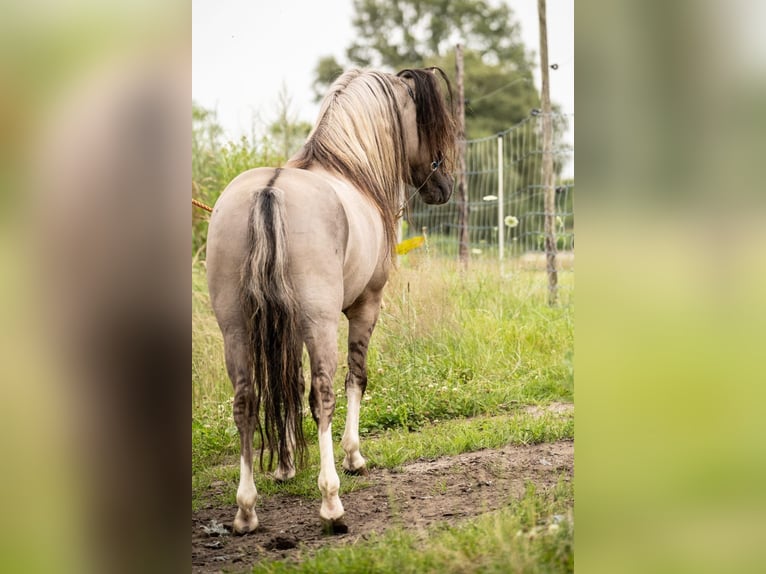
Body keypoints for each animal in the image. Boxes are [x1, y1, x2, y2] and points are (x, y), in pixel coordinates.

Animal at [205, 67, 457, 534]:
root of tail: (269, 193)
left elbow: (287, 384)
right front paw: (354, 455)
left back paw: (246, 510)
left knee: (247, 400)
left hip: (236, 328)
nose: (444, 186)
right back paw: (331, 501)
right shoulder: (365, 306)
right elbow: (355, 377)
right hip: (320, 322)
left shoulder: (284, 326)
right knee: (322, 394)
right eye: (428, 124)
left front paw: (285, 466)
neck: (349, 169)